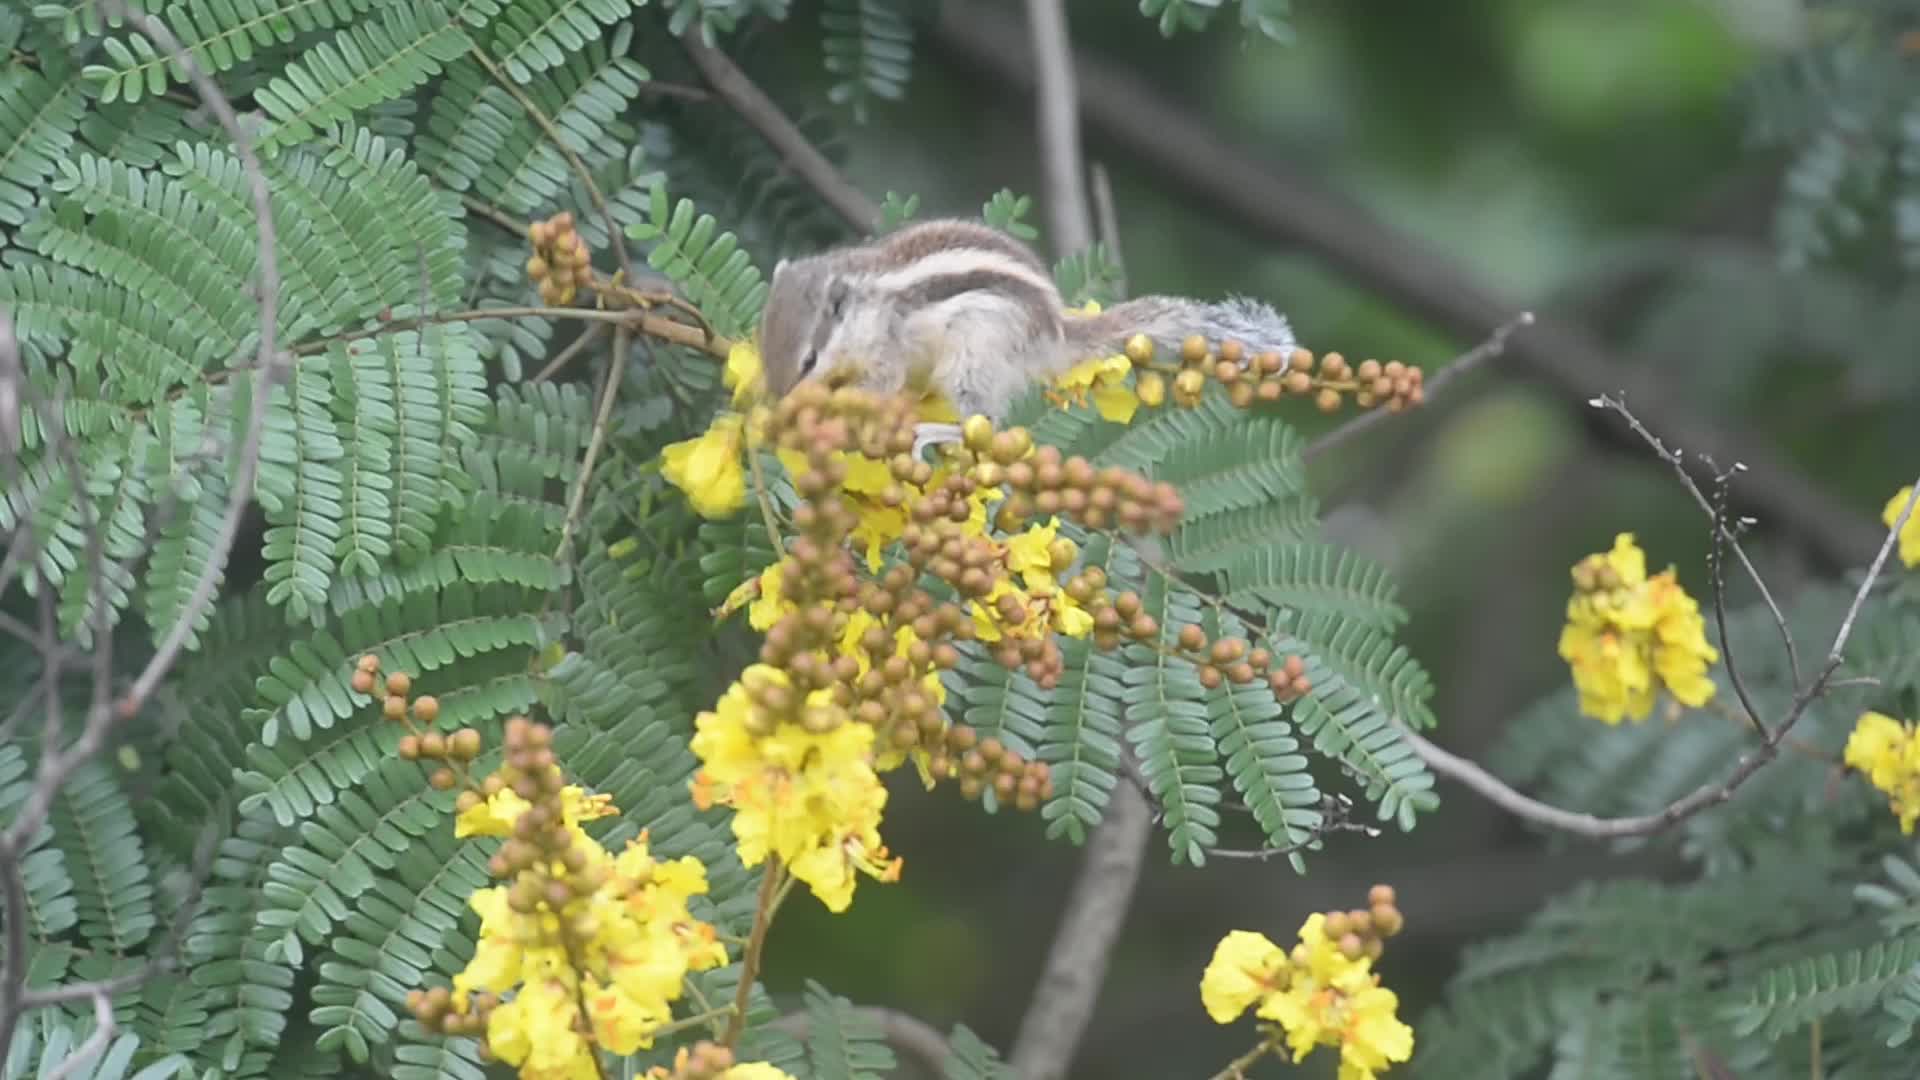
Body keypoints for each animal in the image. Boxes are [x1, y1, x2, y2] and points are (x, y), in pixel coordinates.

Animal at [756, 218, 1300, 438]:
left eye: (807, 360)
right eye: (764, 352)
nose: (778, 405)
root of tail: (1055, 329)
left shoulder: (886, 347)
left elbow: (879, 384)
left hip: (973, 355)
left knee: (985, 423)